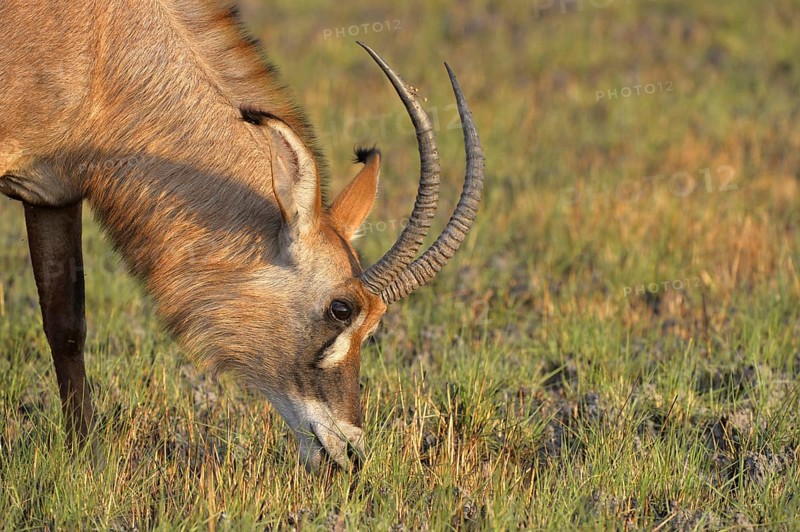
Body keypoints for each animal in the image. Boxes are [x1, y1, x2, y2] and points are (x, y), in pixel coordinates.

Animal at [0, 0, 484, 471]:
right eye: (341, 309)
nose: (350, 453)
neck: (105, 49)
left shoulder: (52, 193)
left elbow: (66, 327)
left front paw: (88, 462)